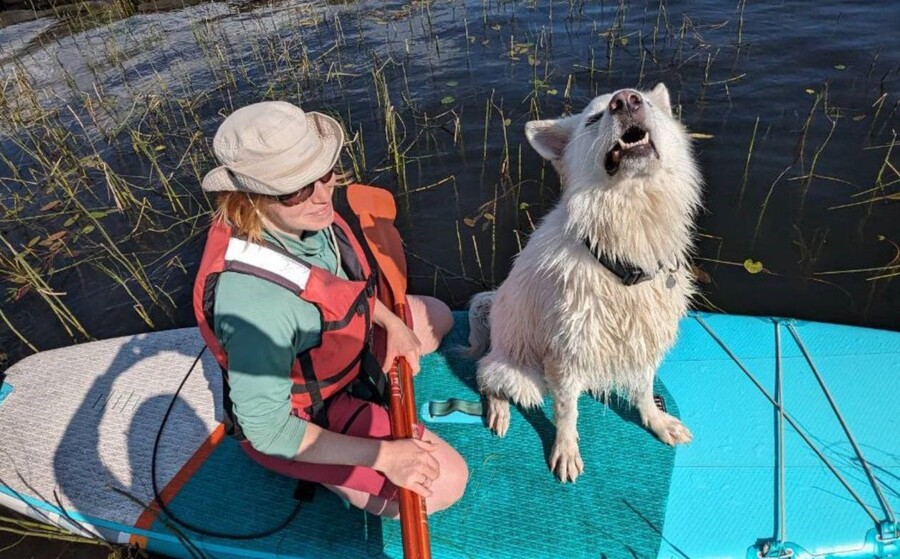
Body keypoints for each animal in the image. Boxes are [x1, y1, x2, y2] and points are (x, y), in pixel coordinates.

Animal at [468, 83, 708, 482]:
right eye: (594, 118)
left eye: (644, 102)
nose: (626, 100)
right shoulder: (565, 354)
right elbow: (567, 411)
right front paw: (565, 451)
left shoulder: (641, 342)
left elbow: (644, 391)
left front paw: (657, 422)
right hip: (521, 374)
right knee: (487, 377)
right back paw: (498, 410)